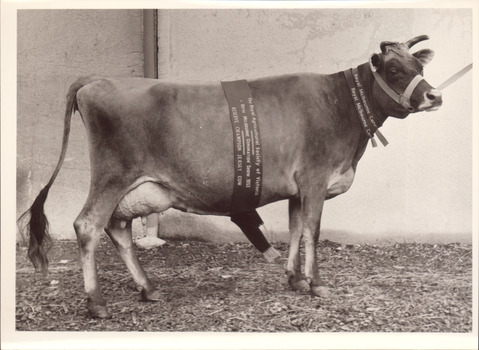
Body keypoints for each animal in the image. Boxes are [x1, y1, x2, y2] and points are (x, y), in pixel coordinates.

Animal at [20, 34, 444, 318]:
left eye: (420, 67)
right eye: (394, 69)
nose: (434, 96)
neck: (339, 105)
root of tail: (95, 80)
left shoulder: (297, 188)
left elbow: (295, 229)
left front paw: (294, 278)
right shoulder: (315, 178)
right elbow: (312, 230)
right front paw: (317, 283)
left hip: (136, 187)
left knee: (117, 228)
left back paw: (148, 288)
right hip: (112, 175)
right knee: (88, 225)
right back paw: (96, 303)